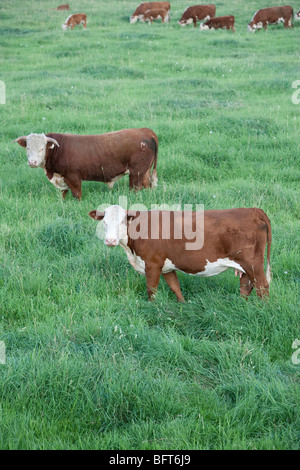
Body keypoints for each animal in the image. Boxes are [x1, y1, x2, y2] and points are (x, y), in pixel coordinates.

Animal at [13, 129, 158, 200]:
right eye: (28, 148)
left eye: (42, 148)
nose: (32, 162)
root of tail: (146, 131)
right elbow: (64, 194)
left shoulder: (73, 177)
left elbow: (77, 194)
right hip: (144, 172)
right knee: (147, 186)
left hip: (136, 173)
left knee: (135, 188)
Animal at [89, 206, 272, 302]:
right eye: (104, 222)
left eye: (122, 221)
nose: (110, 240)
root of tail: (252, 210)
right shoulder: (167, 266)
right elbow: (175, 287)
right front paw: (183, 304)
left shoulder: (152, 264)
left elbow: (151, 290)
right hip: (244, 266)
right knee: (246, 287)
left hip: (253, 263)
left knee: (262, 286)